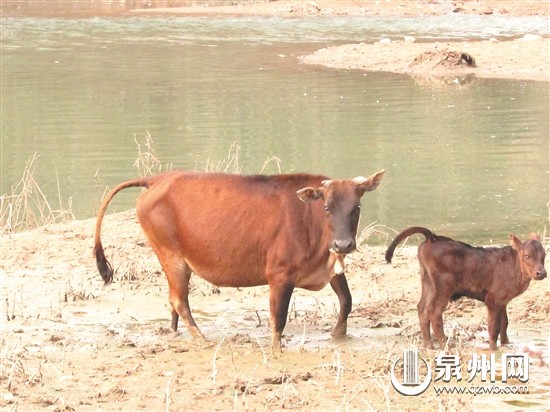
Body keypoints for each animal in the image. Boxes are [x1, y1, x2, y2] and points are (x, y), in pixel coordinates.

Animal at [95, 169, 386, 352]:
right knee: (179, 301)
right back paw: (203, 339)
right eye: (327, 207)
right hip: (171, 255)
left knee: (173, 302)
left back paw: (176, 333)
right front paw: (277, 349)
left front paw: (338, 336)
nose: (343, 244)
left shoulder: (329, 268)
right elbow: (278, 318)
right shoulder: (280, 275)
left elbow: (346, 300)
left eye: (356, 207)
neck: (310, 220)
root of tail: (158, 179)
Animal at [386, 227, 548, 350]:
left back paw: (429, 345)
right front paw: (493, 349)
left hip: (428, 283)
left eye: (544, 255)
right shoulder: (493, 299)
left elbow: (504, 323)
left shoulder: (503, 300)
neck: (514, 266)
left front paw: (506, 344)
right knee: (434, 312)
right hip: (443, 286)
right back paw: (445, 344)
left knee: (422, 308)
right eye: (527, 256)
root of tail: (433, 237)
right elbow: (493, 327)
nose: (541, 273)